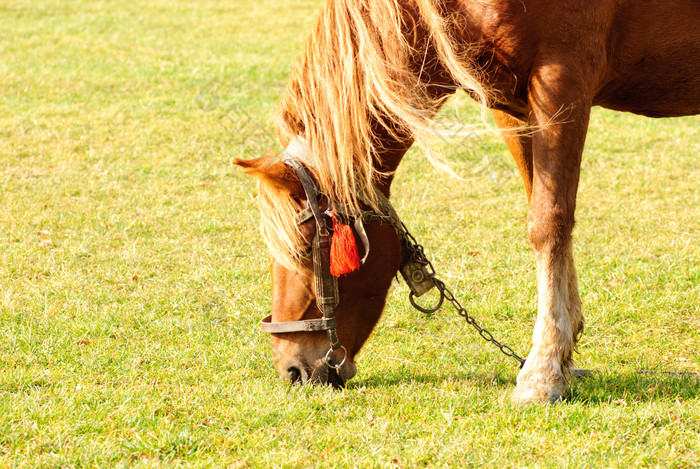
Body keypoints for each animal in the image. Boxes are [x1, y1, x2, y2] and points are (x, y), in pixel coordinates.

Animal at [235, 0, 700, 402]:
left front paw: (543, 370)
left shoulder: (563, 83)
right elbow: (545, 211)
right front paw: (564, 350)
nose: (292, 370)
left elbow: (548, 222)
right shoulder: (513, 106)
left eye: (303, 249)